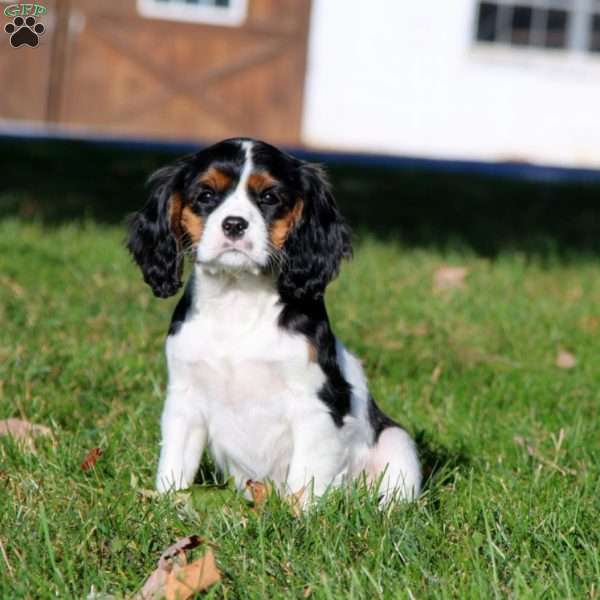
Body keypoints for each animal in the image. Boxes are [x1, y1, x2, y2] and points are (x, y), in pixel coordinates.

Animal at [126, 138, 420, 504]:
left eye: (269, 197)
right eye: (206, 195)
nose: (234, 224)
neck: (238, 298)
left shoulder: (314, 406)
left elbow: (305, 480)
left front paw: (300, 516)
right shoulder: (184, 400)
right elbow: (174, 465)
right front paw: (168, 504)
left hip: (397, 441)